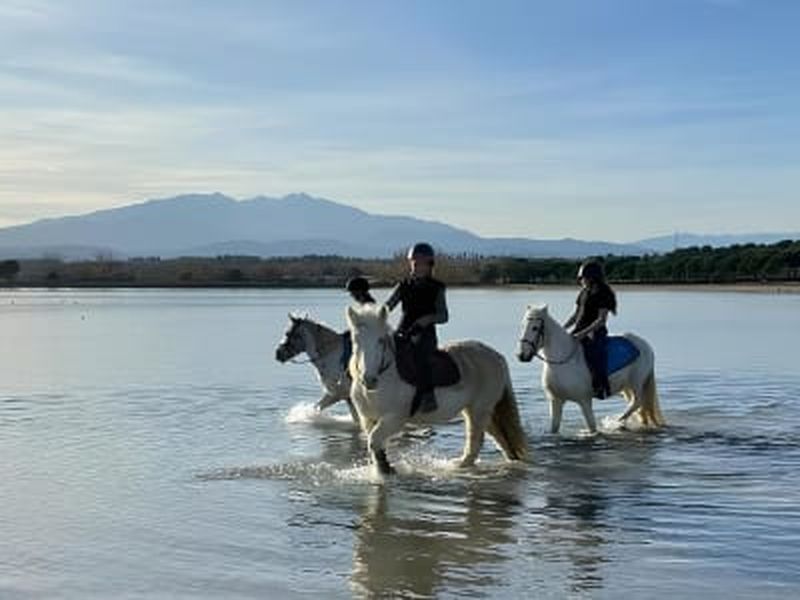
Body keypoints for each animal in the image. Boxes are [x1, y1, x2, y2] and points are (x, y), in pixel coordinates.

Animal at [347, 303, 529, 475]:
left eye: (381, 340)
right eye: (355, 340)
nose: (369, 380)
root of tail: (497, 356)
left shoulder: (395, 419)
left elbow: (374, 441)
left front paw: (387, 472)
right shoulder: (368, 419)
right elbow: (376, 447)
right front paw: (383, 470)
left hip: (479, 410)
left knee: (476, 441)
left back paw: (460, 466)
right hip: (481, 411)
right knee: (501, 439)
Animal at [516, 304, 665, 434]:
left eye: (535, 328)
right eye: (522, 325)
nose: (521, 355)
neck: (562, 361)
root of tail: (645, 344)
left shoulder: (585, 401)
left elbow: (592, 428)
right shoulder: (556, 401)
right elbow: (554, 428)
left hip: (637, 382)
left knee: (637, 402)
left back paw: (616, 422)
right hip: (626, 387)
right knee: (639, 407)